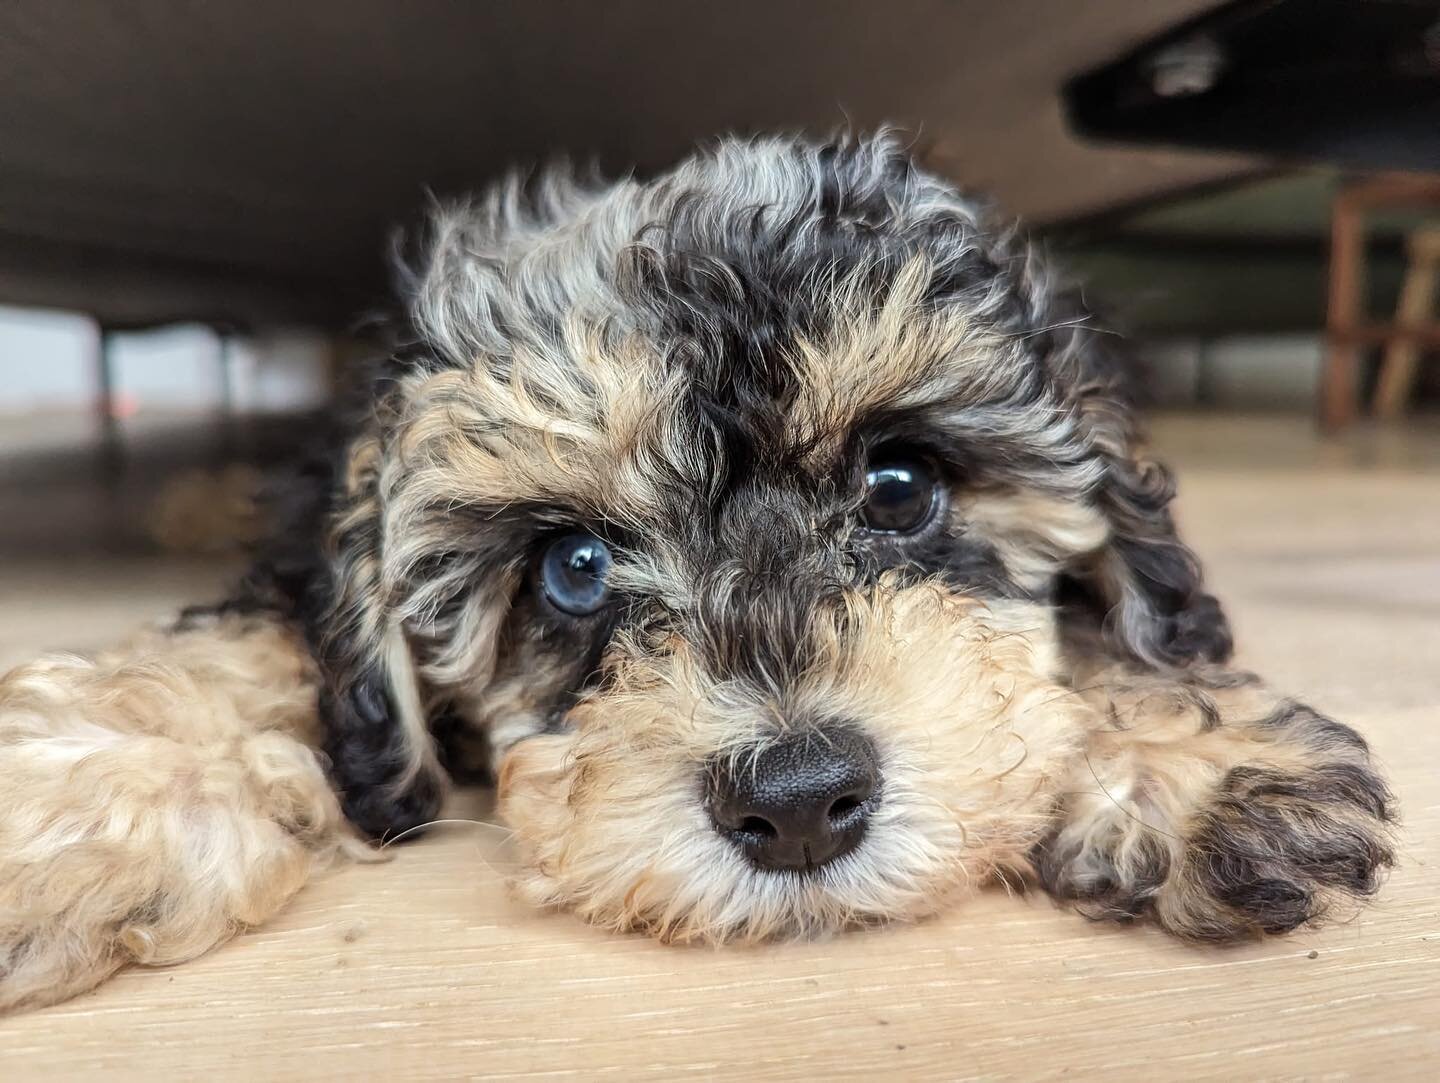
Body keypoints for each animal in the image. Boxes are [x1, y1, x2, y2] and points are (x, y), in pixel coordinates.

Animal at [0, 137, 1393, 1013]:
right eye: (572, 568)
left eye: (900, 488)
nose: (800, 801)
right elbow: (278, 630)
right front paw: (87, 788)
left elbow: (1106, 634)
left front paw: (1186, 760)